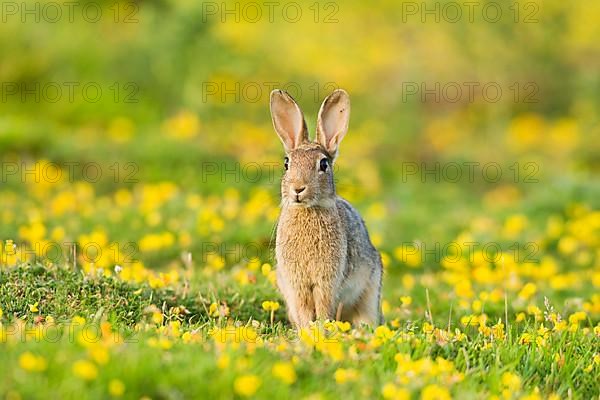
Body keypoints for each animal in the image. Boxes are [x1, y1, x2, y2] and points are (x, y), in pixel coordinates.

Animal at [270, 89, 382, 330]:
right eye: (286, 163)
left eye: (323, 164)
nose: (298, 189)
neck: (308, 210)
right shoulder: (297, 285)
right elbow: (303, 309)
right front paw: (307, 331)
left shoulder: (327, 283)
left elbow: (323, 306)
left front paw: (321, 328)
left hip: (370, 293)